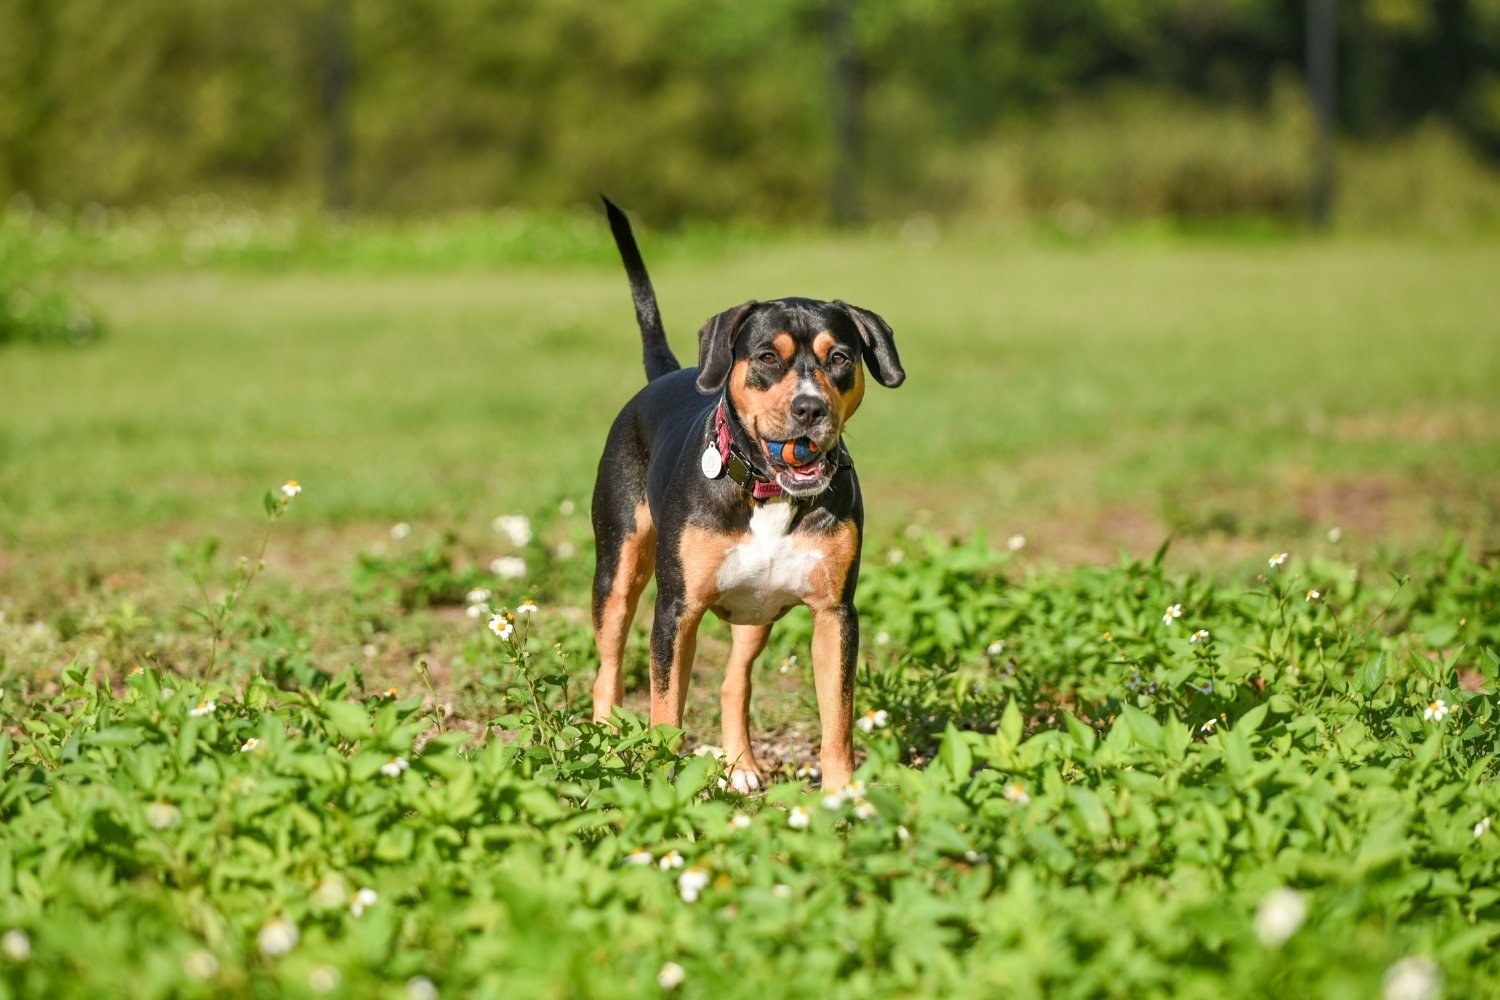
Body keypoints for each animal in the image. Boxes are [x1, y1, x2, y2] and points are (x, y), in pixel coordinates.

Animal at [591, 197, 906, 791]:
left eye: (840, 357)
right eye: (765, 357)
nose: (810, 408)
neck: (768, 491)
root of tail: (663, 376)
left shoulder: (836, 614)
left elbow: (838, 718)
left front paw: (842, 795)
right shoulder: (677, 610)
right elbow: (665, 710)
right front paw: (664, 787)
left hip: (755, 611)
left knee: (734, 683)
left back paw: (739, 767)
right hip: (617, 571)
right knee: (608, 667)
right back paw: (601, 746)